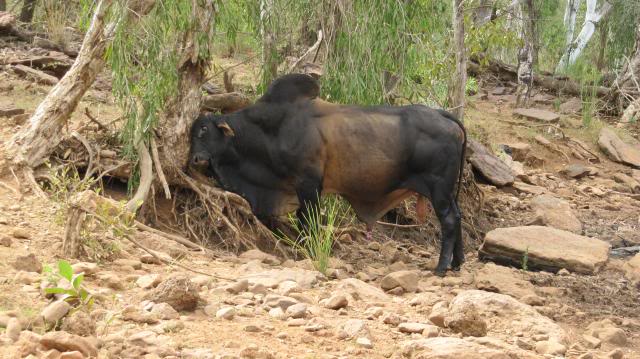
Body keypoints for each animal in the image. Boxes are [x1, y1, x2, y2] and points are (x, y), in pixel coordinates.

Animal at [189, 73, 464, 276]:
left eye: (203, 130)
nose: (194, 160)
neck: (272, 129)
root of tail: (444, 116)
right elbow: (302, 221)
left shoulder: (308, 185)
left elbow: (308, 222)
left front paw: (310, 252)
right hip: (448, 191)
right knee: (458, 216)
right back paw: (457, 263)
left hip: (438, 187)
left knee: (449, 220)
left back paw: (441, 268)